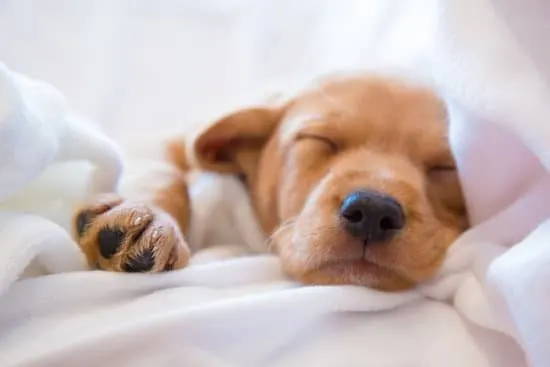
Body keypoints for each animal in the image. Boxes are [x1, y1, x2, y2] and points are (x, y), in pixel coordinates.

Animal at [74, 75, 470, 292]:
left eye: (444, 168)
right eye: (320, 140)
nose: (373, 211)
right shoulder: (169, 142)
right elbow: (161, 173)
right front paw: (150, 216)